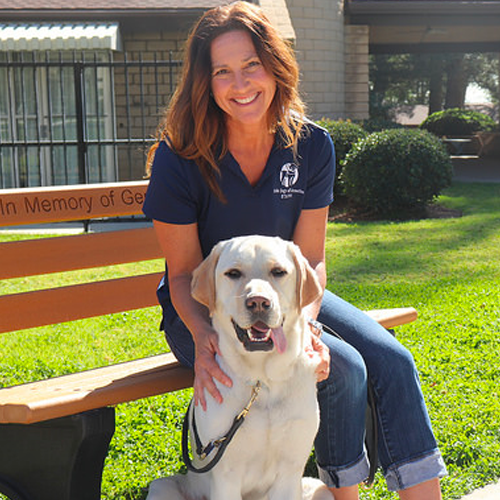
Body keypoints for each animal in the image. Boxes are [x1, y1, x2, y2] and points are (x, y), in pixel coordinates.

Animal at [148, 235, 336, 500]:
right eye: (233, 273)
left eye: (278, 272)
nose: (258, 302)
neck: (261, 380)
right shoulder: (226, 475)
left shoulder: (290, 472)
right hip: (162, 487)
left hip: (319, 488)